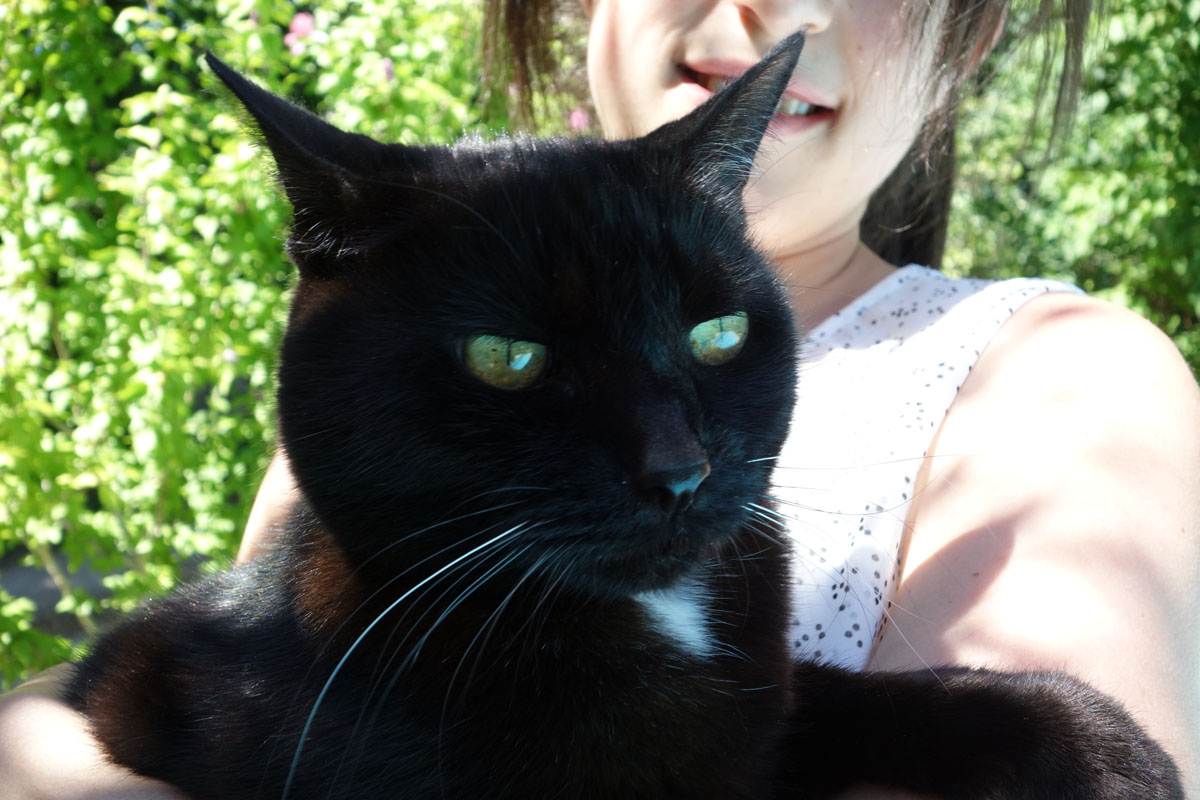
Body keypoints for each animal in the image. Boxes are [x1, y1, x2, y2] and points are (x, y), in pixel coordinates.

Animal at [64, 34, 1182, 799]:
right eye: (508, 358)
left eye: (718, 333)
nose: (678, 469)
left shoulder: (755, 701)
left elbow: (829, 694)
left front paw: (1094, 741)